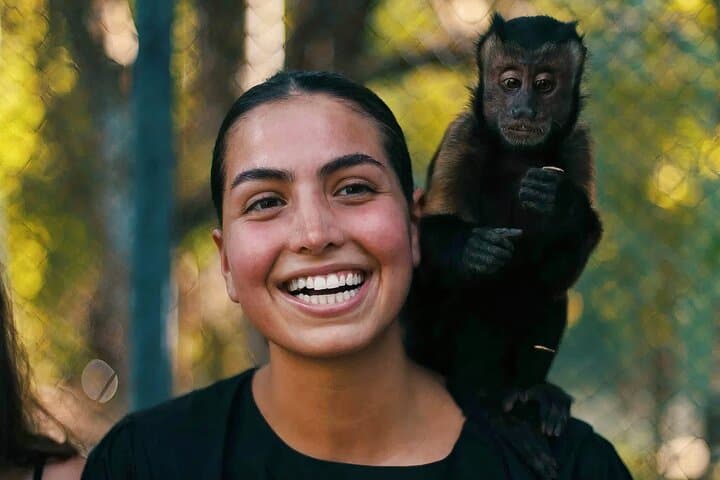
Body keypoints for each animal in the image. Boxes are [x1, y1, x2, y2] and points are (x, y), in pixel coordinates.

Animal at [404, 14, 602, 478]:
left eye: (544, 85)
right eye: (511, 83)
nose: (524, 109)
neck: (518, 155)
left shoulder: (578, 145)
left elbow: (560, 270)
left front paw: (561, 205)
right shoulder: (462, 137)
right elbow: (426, 247)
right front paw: (474, 250)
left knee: (546, 290)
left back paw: (530, 391)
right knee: (476, 290)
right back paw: (490, 406)